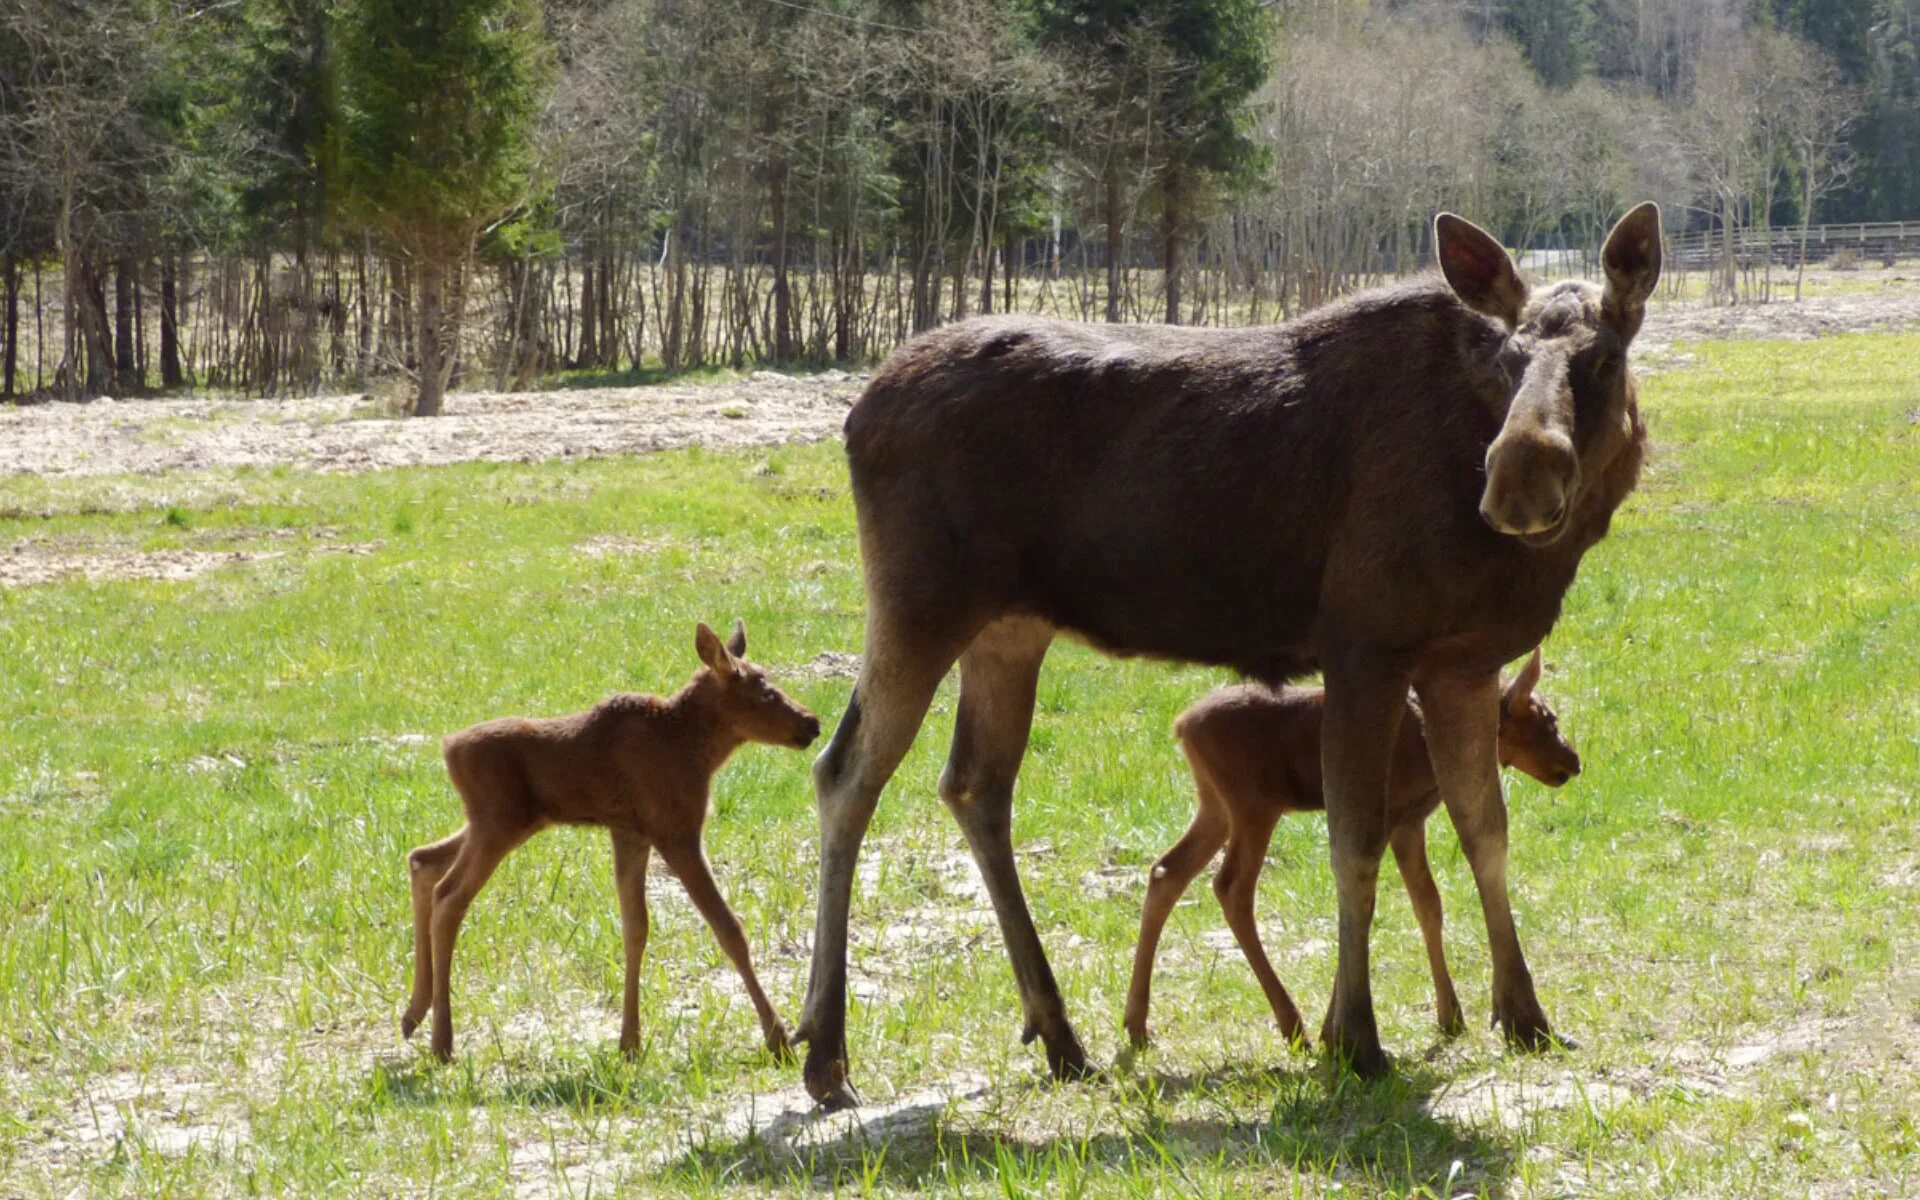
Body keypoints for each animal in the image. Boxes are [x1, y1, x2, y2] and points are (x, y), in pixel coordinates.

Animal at [401, 618, 821, 1059]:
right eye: (765, 691)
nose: (812, 723)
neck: (698, 750)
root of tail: (447, 749)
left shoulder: (630, 832)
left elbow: (635, 927)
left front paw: (630, 1040)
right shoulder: (677, 830)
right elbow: (729, 928)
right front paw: (778, 1037)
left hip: (497, 822)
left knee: (423, 859)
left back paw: (415, 1012)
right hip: (498, 823)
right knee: (449, 896)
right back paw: (442, 1039)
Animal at [1121, 645, 1582, 1044]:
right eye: (1549, 719)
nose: (1574, 762)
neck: (1426, 749)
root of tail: (1182, 727)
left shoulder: (1410, 821)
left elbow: (1427, 905)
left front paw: (1449, 1015)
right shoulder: (1396, 817)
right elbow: (1383, 900)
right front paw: (1347, 1022)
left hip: (1215, 805)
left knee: (1166, 871)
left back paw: (1136, 1023)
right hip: (1253, 804)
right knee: (1231, 887)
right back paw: (1292, 1023)